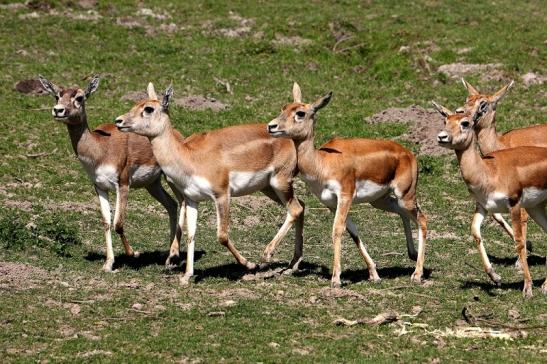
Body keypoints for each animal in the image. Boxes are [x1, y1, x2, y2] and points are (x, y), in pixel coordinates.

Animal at [39, 75, 184, 272]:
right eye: (57, 96)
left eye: (80, 97)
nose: (58, 110)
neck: (100, 149)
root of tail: (176, 134)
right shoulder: (100, 186)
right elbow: (106, 222)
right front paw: (108, 264)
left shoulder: (122, 184)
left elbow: (118, 223)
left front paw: (134, 254)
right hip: (152, 184)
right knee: (172, 205)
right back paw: (169, 257)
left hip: (171, 180)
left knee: (182, 203)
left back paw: (174, 256)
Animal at [114, 82, 304, 284]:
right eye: (136, 104)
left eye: (148, 108)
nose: (119, 121)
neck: (190, 157)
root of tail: (292, 140)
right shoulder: (192, 200)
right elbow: (191, 235)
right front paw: (186, 276)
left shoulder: (222, 194)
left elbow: (222, 235)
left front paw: (249, 264)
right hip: (269, 188)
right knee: (301, 206)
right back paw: (294, 264)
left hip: (280, 182)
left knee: (295, 210)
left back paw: (266, 256)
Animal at [268, 83, 426, 288]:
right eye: (284, 108)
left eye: (300, 113)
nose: (271, 126)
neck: (322, 162)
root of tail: (408, 153)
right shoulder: (331, 203)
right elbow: (352, 231)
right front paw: (373, 273)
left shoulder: (345, 196)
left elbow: (337, 230)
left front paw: (336, 279)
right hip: (381, 200)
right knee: (403, 213)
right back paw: (412, 255)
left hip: (405, 195)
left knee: (422, 219)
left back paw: (417, 274)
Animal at [434, 104, 544, 298]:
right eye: (445, 121)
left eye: (465, 122)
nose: (442, 137)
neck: (489, 171)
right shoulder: (483, 206)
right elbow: (475, 232)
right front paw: (495, 276)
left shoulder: (514, 205)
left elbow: (519, 242)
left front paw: (528, 288)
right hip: (536, 207)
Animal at [462, 79, 547, 258]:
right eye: (467, 99)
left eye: (483, 104)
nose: (461, 113)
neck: (502, 143)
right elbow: (497, 216)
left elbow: (522, 219)